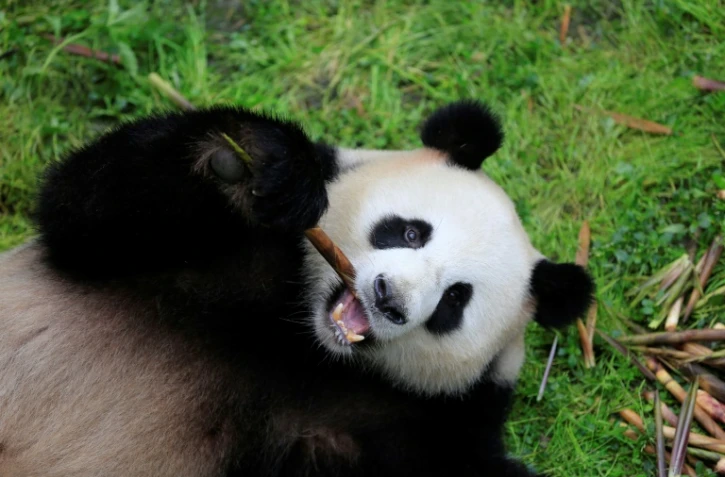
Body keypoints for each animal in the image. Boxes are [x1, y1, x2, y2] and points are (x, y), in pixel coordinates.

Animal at [0, 100, 593, 477]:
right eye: (410, 232)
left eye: (454, 300)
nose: (388, 299)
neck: (302, 340)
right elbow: (86, 211)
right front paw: (257, 165)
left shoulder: (415, 428)